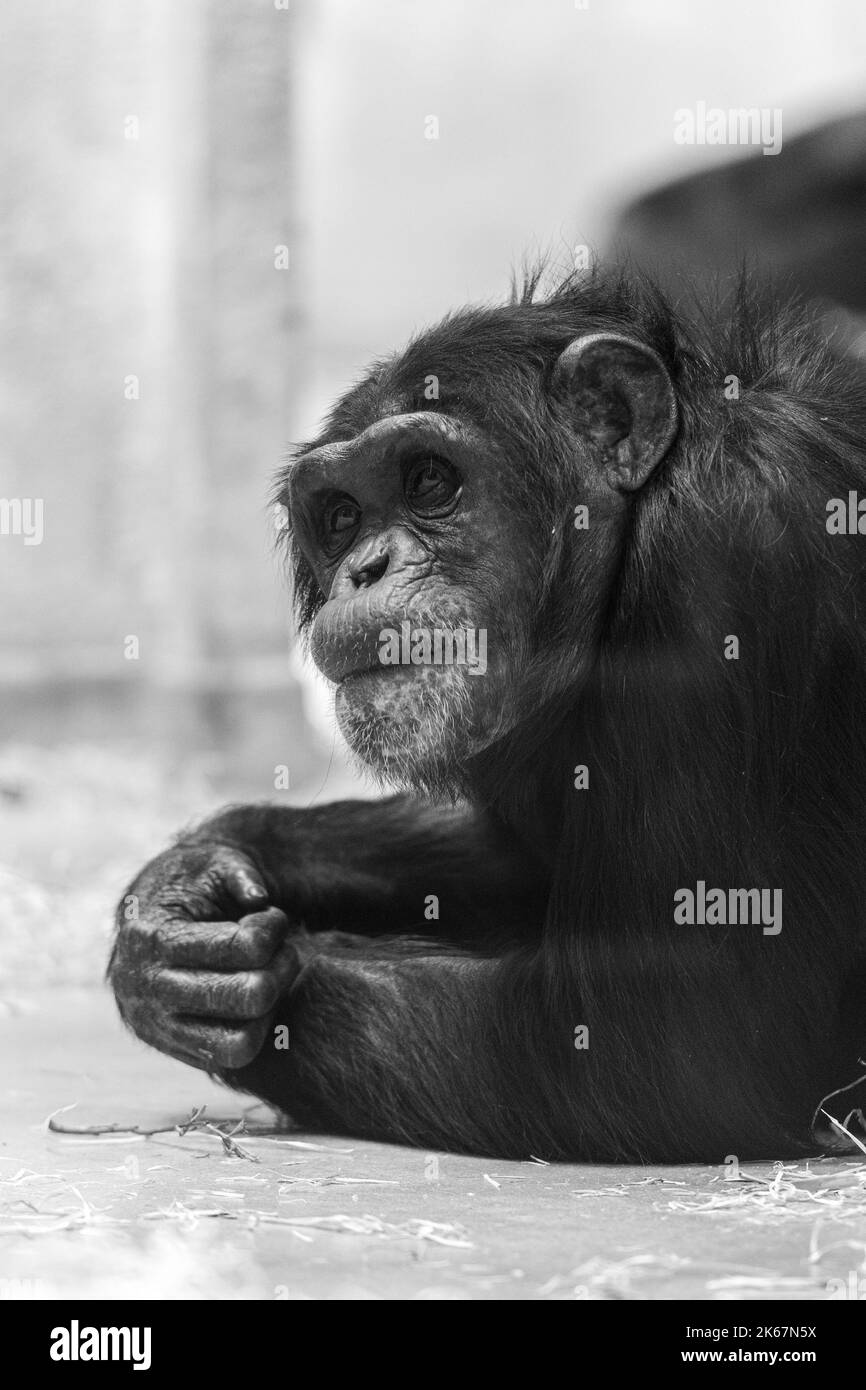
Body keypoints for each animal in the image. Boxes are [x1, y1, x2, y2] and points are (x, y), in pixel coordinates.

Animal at [108, 268, 866, 1162]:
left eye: (430, 480)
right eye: (340, 515)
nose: (366, 567)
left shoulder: (731, 561)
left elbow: (660, 1044)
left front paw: (242, 976)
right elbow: (519, 862)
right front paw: (182, 893)